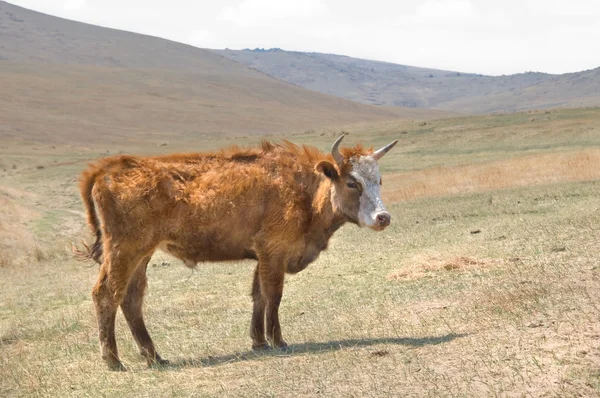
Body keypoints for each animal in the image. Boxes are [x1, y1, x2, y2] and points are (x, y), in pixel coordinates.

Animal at [77, 134, 396, 370]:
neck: (306, 188)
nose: (383, 217)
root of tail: (110, 167)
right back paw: (113, 360)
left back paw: (154, 356)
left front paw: (259, 341)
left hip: (142, 254)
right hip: (124, 250)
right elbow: (273, 295)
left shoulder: (263, 255)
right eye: (352, 182)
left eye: (379, 180)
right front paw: (278, 341)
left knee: (131, 299)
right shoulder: (274, 252)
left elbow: (258, 295)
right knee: (106, 294)